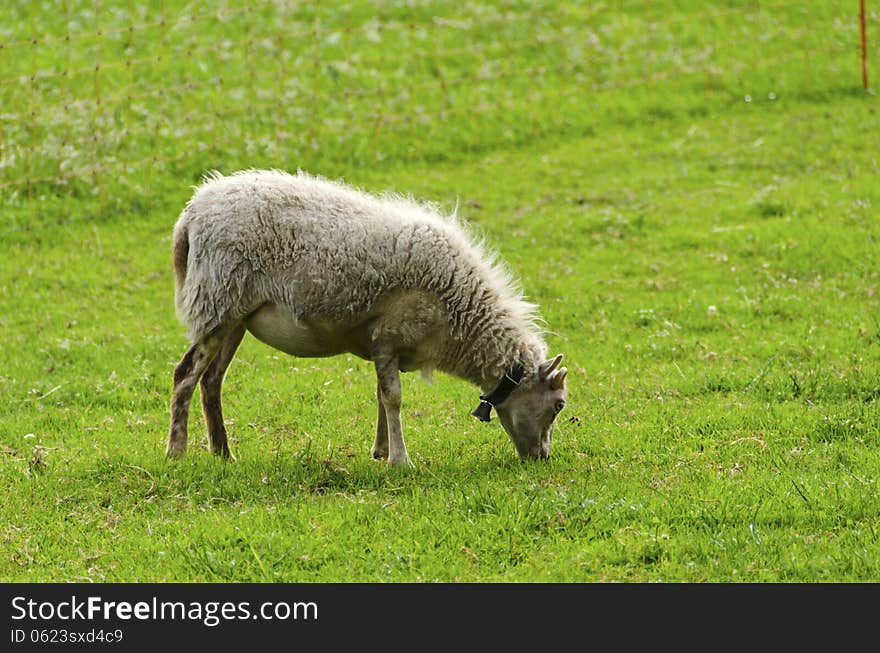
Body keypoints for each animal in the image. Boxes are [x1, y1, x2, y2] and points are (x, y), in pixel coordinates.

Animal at [168, 168, 568, 464]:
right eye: (558, 405)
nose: (542, 457)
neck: (459, 314)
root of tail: (191, 213)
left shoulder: (385, 345)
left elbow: (380, 394)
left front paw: (380, 450)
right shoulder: (387, 336)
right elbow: (393, 397)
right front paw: (400, 461)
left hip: (233, 315)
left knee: (211, 381)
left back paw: (223, 453)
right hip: (215, 299)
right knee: (186, 374)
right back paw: (177, 451)